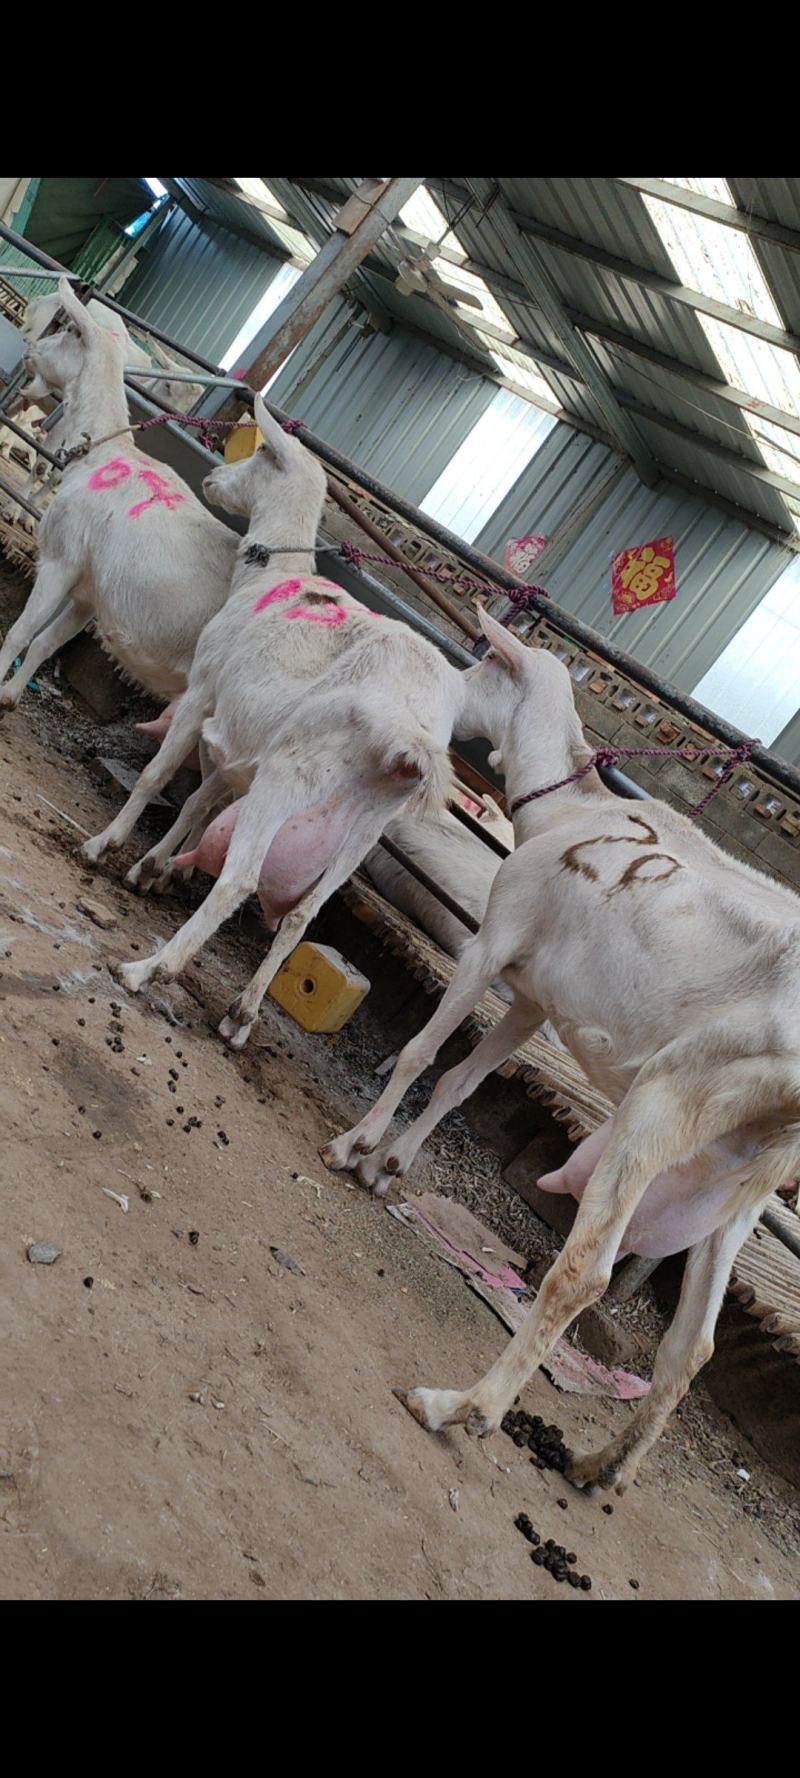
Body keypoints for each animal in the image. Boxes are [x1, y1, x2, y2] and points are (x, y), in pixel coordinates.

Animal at [0, 273, 238, 711]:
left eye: (70, 330)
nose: (31, 349)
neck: (105, 451)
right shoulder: (88, 594)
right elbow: (45, 643)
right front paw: (10, 694)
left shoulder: (61, 560)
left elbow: (21, 632)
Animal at [78, 396, 465, 1045]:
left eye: (260, 449)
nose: (213, 480)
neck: (269, 577)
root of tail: (411, 740)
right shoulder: (241, 736)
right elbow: (198, 801)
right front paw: (153, 866)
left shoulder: (205, 689)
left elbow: (159, 777)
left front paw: (104, 847)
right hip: (366, 825)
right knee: (304, 912)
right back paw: (242, 1014)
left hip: (294, 776)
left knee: (240, 880)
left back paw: (148, 969)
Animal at [321, 604, 800, 1493]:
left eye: (482, 662)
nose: (452, 689)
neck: (570, 815)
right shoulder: (534, 993)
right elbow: (461, 1081)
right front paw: (390, 1164)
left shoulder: (491, 940)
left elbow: (421, 1053)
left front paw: (353, 1146)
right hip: (747, 1173)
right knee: (693, 1346)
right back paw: (598, 1466)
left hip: (669, 1101)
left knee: (586, 1273)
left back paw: (460, 1406)